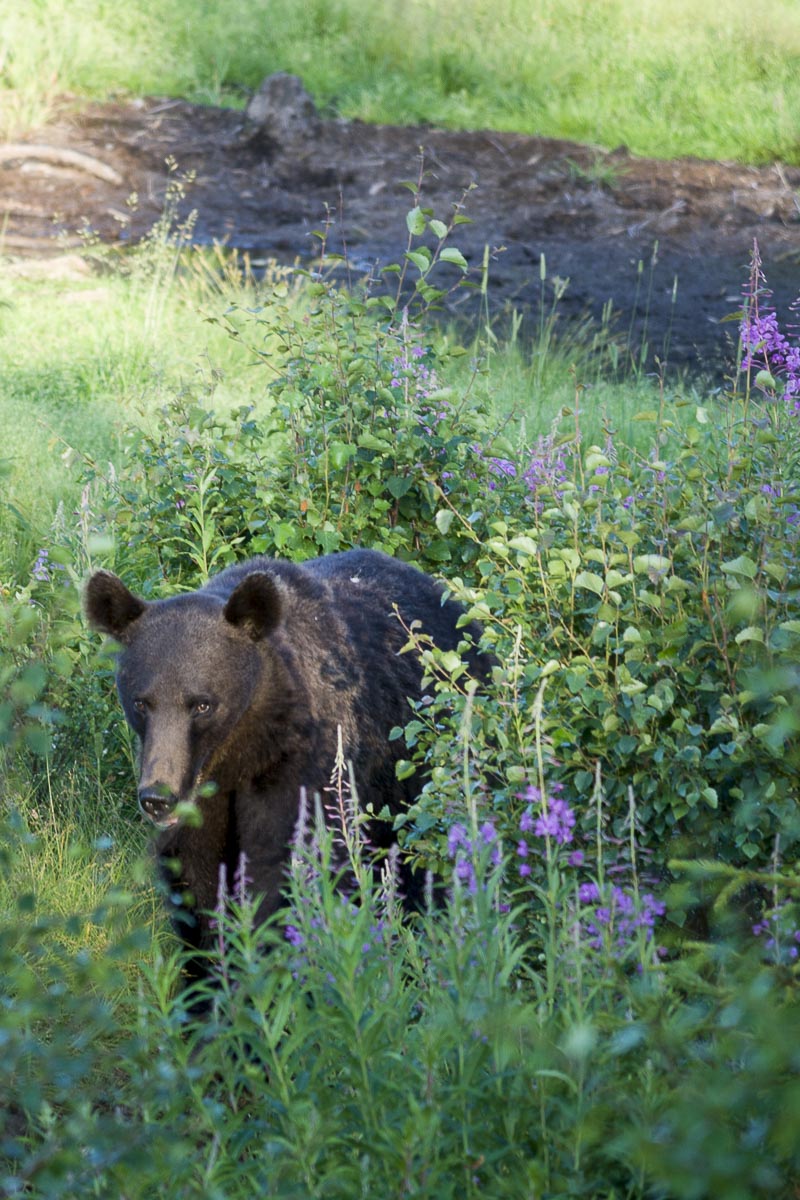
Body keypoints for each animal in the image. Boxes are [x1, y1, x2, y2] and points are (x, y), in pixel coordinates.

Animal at [85, 548, 491, 988]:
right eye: (142, 702)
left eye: (202, 704)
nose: (158, 798)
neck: (240, 752)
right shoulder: (204, 800)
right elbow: (196, 884)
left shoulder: (302, 769)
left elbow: (286, 870)